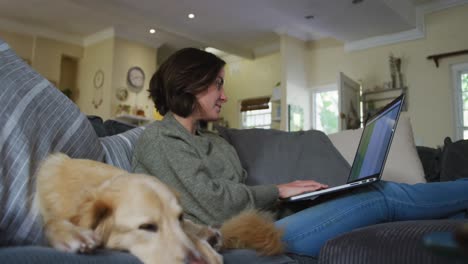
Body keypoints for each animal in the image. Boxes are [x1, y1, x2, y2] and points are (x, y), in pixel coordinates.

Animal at [34, 153, 284, 264]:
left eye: (178, 218)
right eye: (146, 227)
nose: (198, 262)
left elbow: (190, 234)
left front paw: (206, 250)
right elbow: (51, 222)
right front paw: (71, 233)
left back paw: (211, 235)